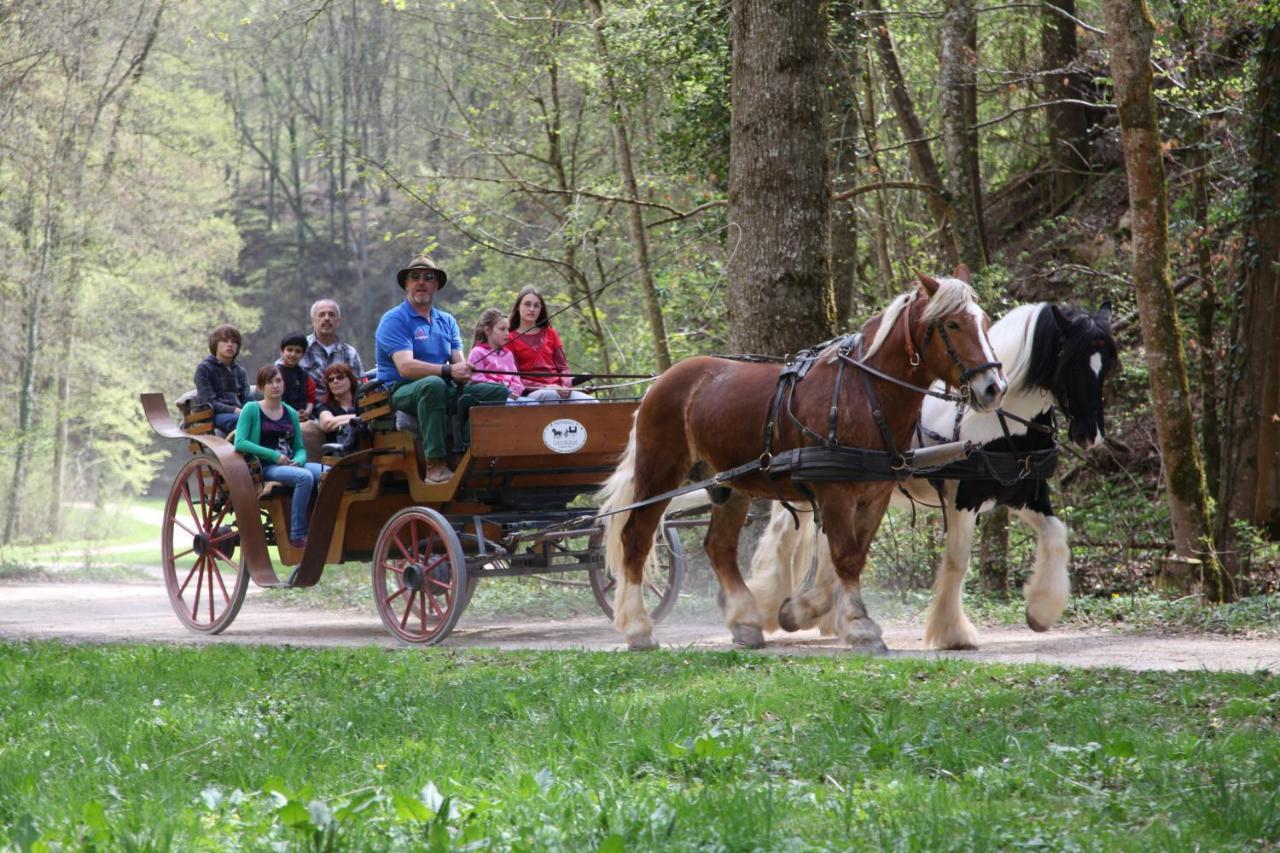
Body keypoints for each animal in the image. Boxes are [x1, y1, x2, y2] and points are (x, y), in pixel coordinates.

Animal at [593, 268, 1003, 648]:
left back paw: (745, 621)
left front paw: (816, 613)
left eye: (984, 322)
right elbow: (844, 556)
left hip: (729, 483)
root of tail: (661, 381)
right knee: (635, 539)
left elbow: (855, 555)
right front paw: (857, 625)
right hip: (659, 472)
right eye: (952, 323)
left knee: (719, 547)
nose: (993, 388)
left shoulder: (876, 494)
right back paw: (638, 627)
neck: (862, 393)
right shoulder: (835, 492)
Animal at [747, 302, 1116, 648]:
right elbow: (957, 562)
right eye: (1070, 361)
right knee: (783, 536)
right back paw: (767, 607)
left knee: (825, 545)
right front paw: (954, 633)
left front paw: (1042, 609)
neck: (1000, 423)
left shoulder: (1023, 492)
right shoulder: (964, 497)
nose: (1091, 435)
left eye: (1107, 367)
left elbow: (1056, 535)